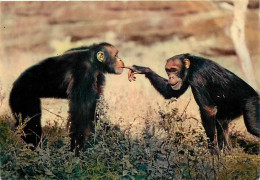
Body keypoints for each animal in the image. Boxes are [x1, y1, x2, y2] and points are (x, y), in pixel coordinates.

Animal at [128, 53, 260, 152]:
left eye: (174, 70)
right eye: (168, 71)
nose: (171, 77)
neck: (191, 67)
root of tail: (256, 95)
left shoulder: (198, 76)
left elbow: (207, 109)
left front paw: (212, 149)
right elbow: (171, 92)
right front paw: (142, 69)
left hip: (252, 103)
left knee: (253, 127)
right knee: (221, 122)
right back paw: (226, 151)